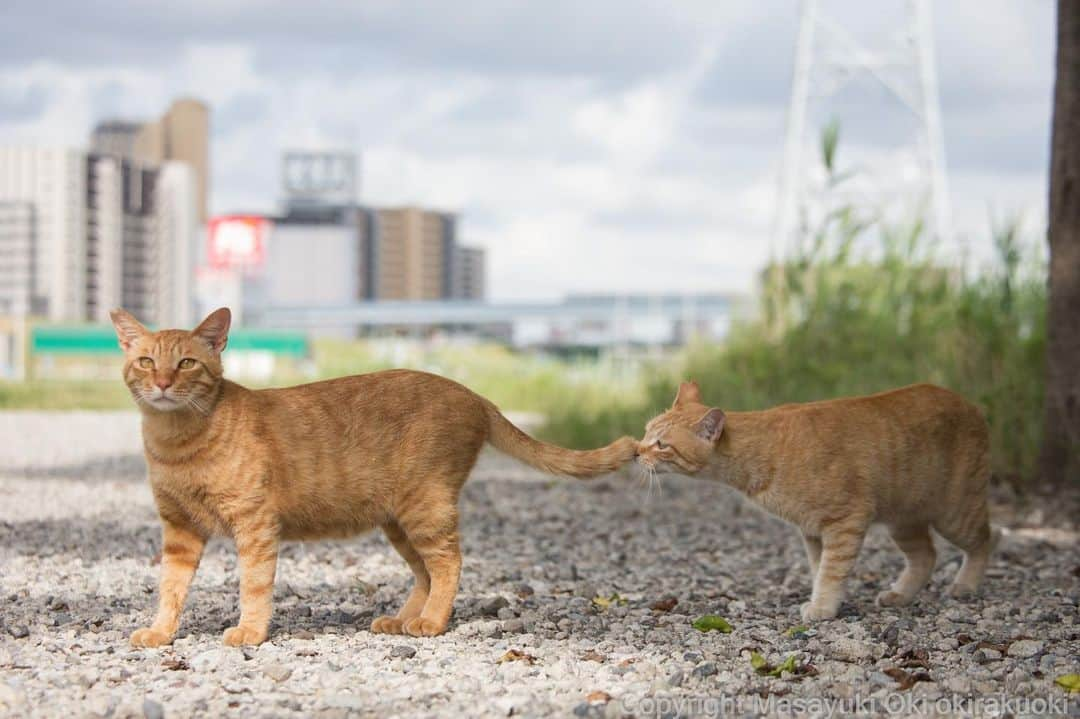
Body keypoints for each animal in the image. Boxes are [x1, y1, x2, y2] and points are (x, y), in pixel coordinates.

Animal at [113, 306, 635, 643]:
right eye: (146, 361)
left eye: (186, 363)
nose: (162, 383)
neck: (176, 441)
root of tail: (473, 394)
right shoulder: (179, 530)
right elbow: (171, 587)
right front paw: (161, 632)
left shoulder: (255, 525)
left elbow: (254, 586)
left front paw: (250, 632)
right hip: (398, 522)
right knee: (425, 573)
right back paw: (402, 620)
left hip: (425, 508)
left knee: (448, 563)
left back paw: (432, 623)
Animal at [630, 377, 993, 617]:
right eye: (646, 432)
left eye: (661, 444)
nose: (636, 452)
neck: (762, 454)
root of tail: (971, 404)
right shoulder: (812, 531)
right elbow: (820, 568)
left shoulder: (845, 521)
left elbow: (831, 571)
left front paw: (822, 608)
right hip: (903, 520)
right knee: (926, 556)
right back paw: (900, 595)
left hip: (955, 512)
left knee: (987, 540)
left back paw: (965, 585)